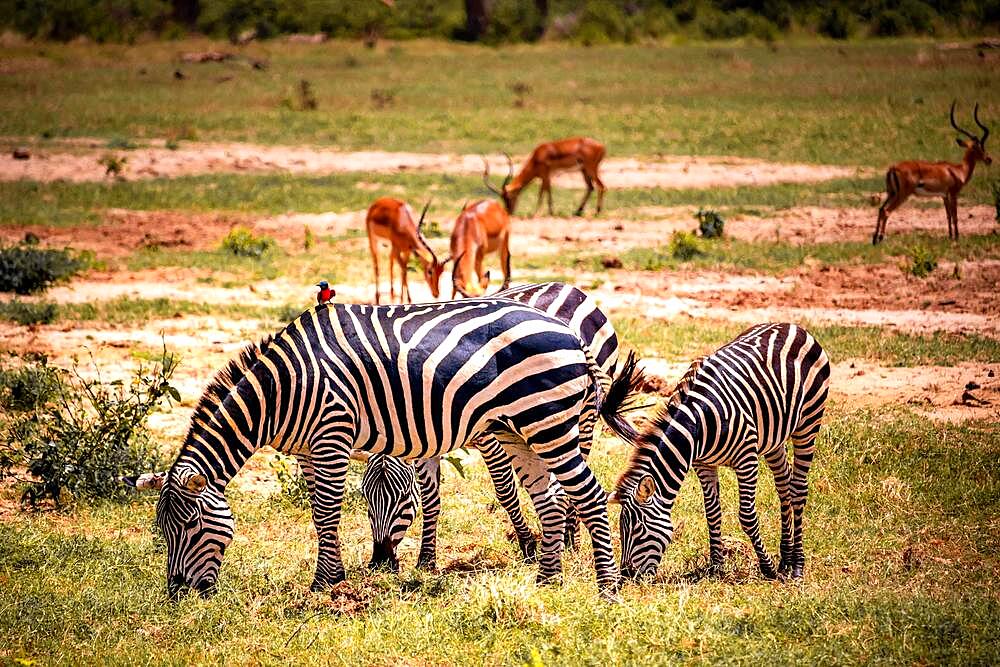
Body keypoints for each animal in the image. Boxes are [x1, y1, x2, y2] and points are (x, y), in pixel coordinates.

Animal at [127, 300, 640, 596]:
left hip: (550, 422)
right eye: (163, 531)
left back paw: (606, 588)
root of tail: (569, 330)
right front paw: (332, 577)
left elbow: (327, 511)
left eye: (190, 528)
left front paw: (326, 585)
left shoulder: (331, 435)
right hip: (519, 429)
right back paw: (548, 580)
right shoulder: (309, 450)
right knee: (549, 499)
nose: (178, 595)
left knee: (590, 496)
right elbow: (319, 512)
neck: (284, 389)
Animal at [612, 322, 832, 580]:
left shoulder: (746, 459)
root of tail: (792, 326)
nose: (627, 574)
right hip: (774, 438)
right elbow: (712, 513)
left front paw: (766, 567)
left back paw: (796, 564)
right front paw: (716, 567)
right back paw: (785, 559)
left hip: (808, 422)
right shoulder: (703, 464)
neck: (697, 425)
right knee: (784, 486)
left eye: (638, 529)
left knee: (798, 489)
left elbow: (747, 516)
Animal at [876, 99, 992, 245]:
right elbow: (955, 216)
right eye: (979, 147)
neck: (958, 170)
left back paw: (874, 239)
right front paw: (957, 237)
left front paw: (950, 236)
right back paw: (880, 238)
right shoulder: (953, 194)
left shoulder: (944, 196)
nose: (989, 159)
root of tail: (892, 167)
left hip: (891, 193)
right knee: (886, 211)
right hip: (902, 195)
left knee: (880, 209)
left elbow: (948, 215)